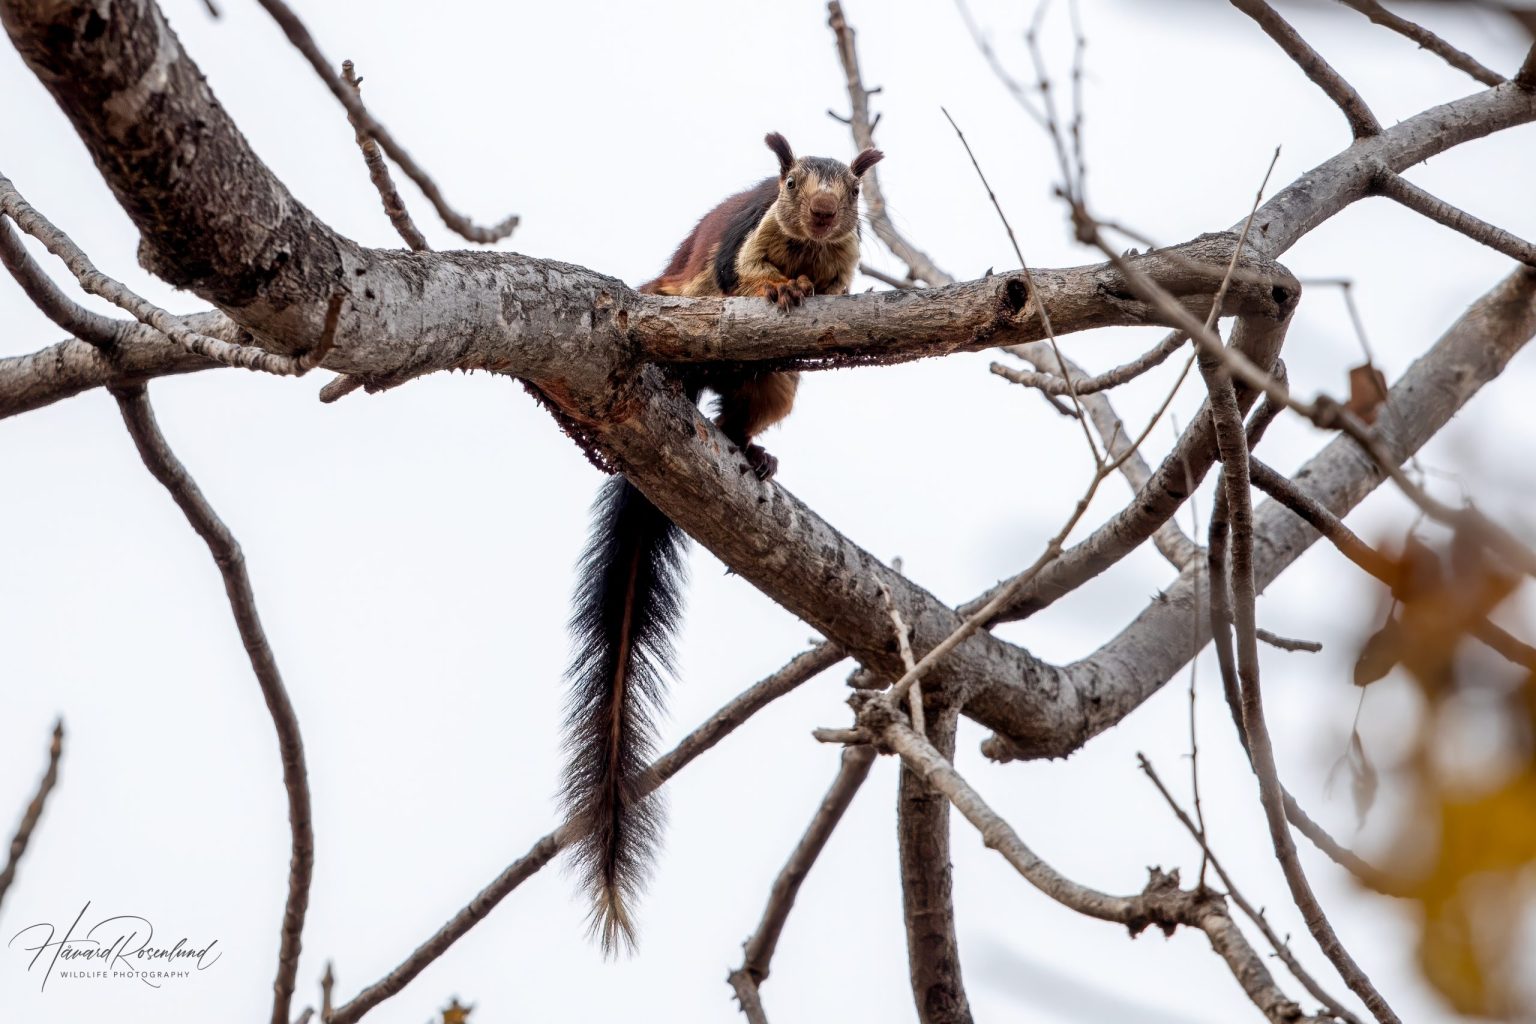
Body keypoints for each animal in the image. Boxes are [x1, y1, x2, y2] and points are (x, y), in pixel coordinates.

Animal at [560, 132, 883, 954]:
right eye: (791, 182)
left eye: (853, 192)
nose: (824, 212)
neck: (808, 250)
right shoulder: (744, 249)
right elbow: (756, 277)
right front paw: (783, 291)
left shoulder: (844, 260)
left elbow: (837, 285)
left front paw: (818, 292)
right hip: (677, 304)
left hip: (770, 382)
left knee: (744, 410)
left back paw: (751, 451)